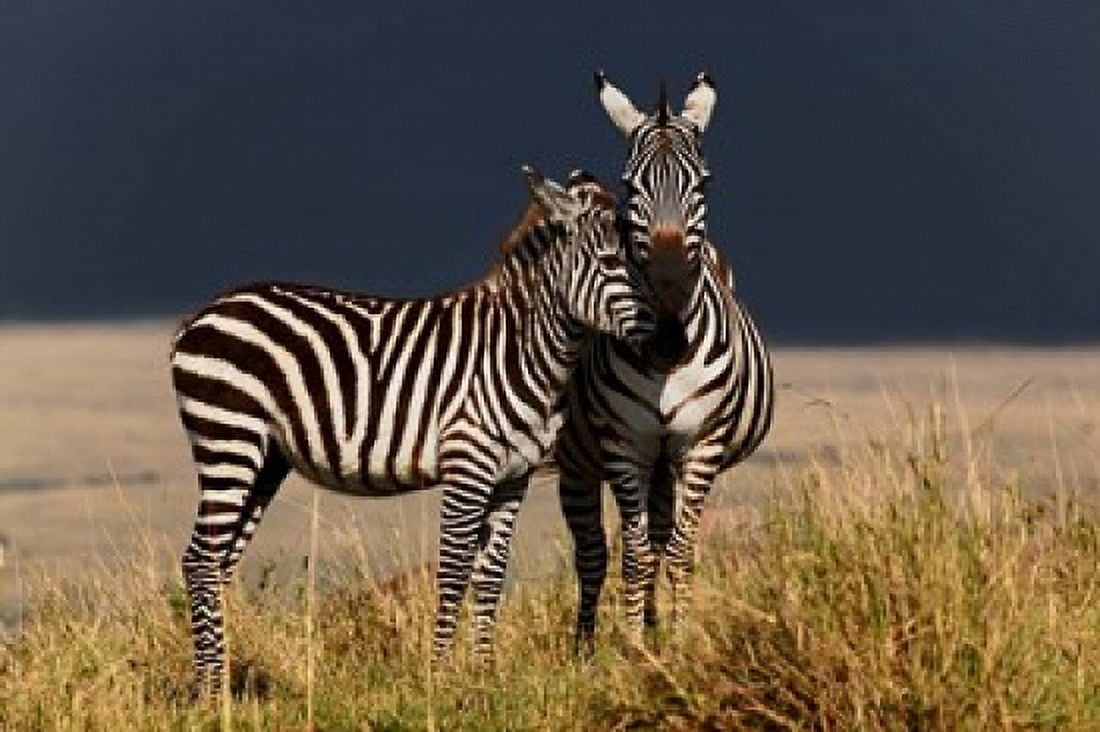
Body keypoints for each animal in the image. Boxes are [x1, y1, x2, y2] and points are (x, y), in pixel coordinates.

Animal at [169, 166, 656, 692]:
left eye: (642, 257)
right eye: (610, 260)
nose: (667, 334)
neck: (522, 350)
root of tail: (201, 314)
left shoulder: (513, 475)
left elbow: (491, 573)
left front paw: (483, 675)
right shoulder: (469, 463)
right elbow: (455, 568)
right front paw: (440, 676)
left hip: (264, 459)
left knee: (218, 562)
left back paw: (219, 685)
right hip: (229, 438)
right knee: (200, 561)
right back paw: (210, 691)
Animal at [554, 72, 775, 645]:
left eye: (705, 185)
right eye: (632, 186)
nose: (671, 288)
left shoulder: (701, 443)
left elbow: (677, 549)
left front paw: (676, 642)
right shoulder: (623, 444)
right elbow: (632, 555)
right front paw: (633, 647)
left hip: (664, 459)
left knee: (657, 537)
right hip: (582, 461)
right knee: (593, 554)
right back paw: (587, 645)